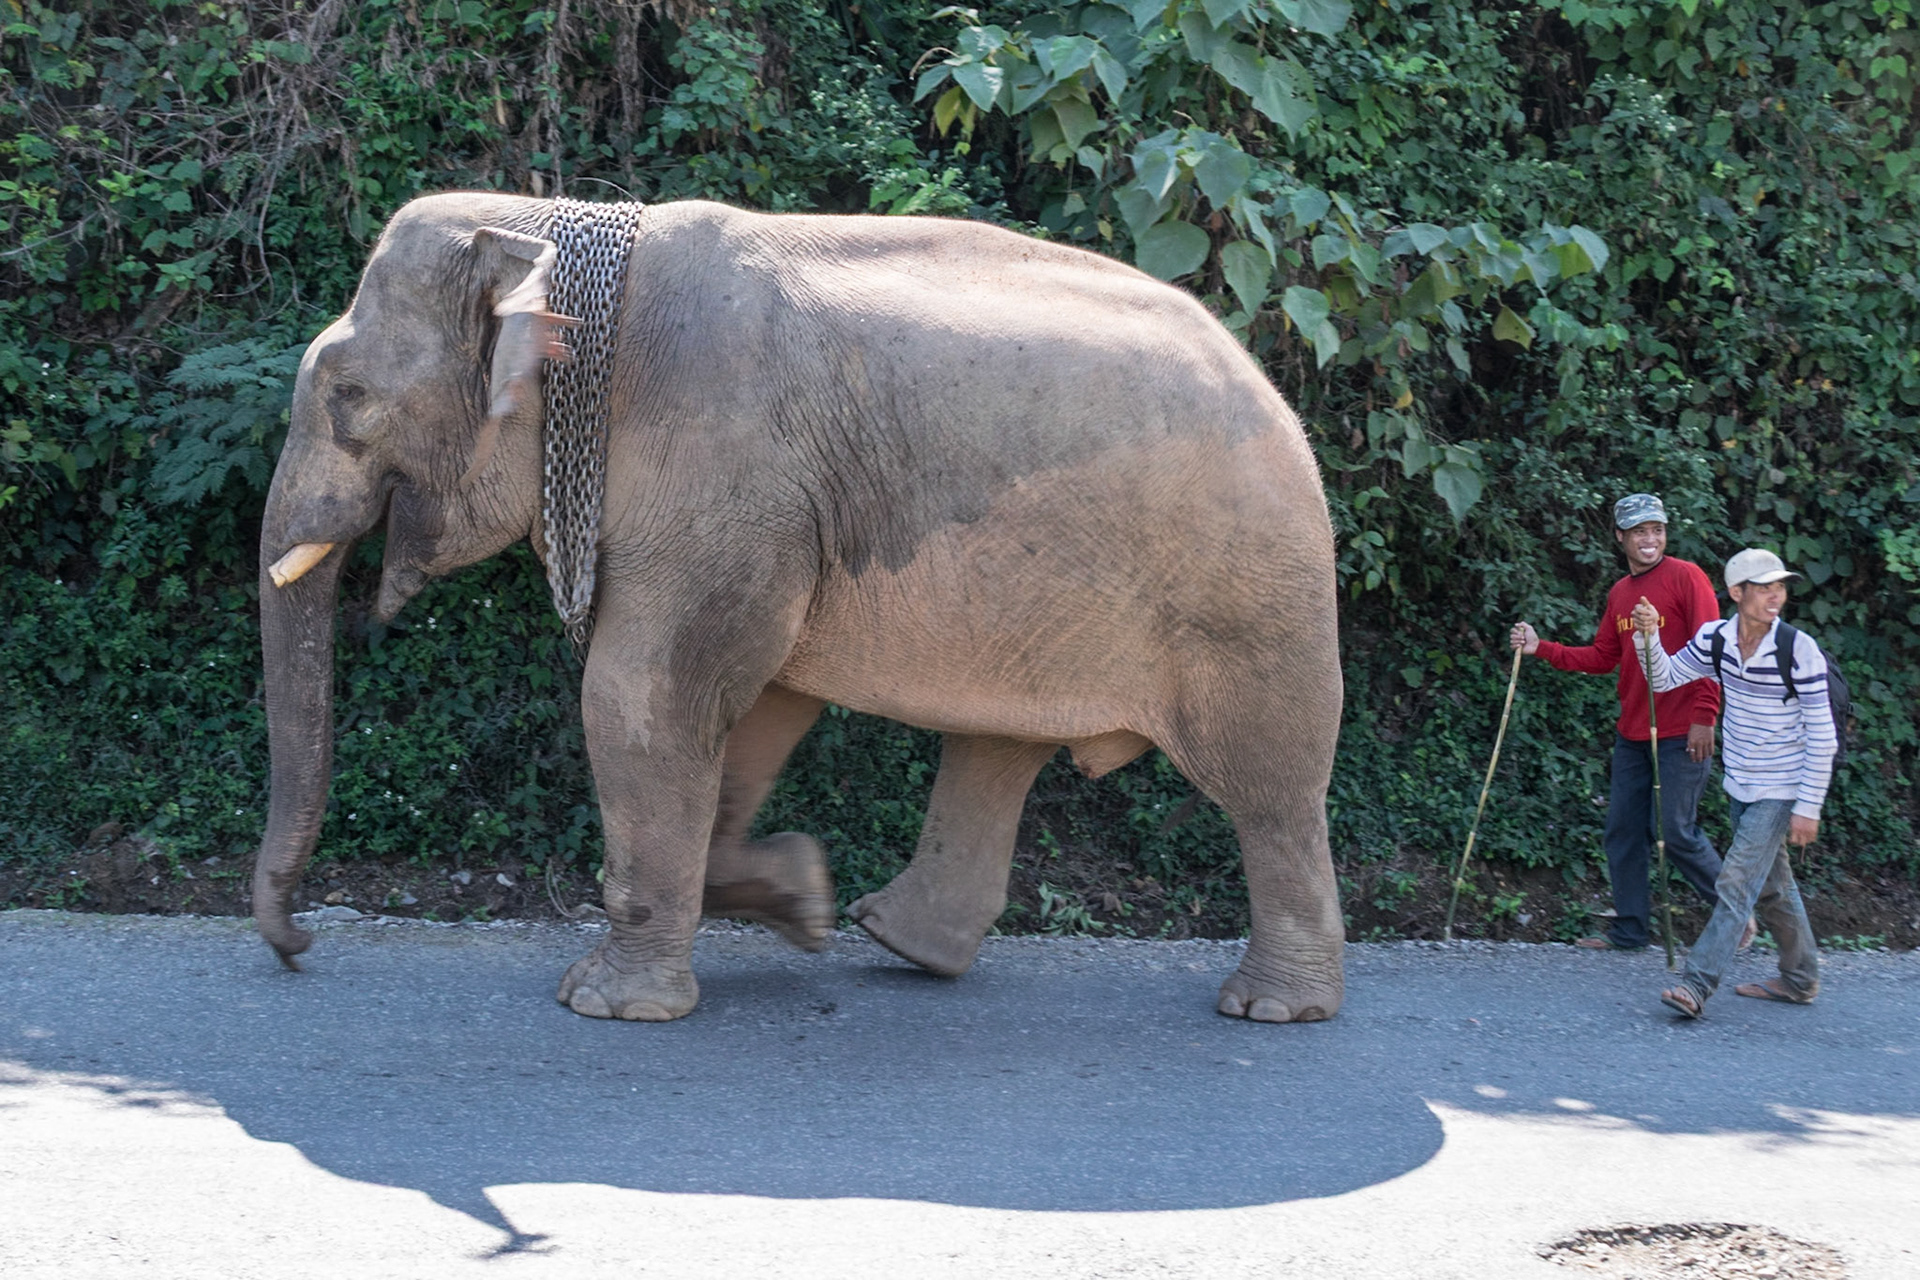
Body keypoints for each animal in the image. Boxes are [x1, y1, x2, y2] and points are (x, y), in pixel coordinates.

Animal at [254, 191, 1345, 1024]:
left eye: (347, 396)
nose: (299, 947)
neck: (543, 227)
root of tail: (1275, 390)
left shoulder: (721, 480)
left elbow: (643, 696)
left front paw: (606, 1004)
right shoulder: (763, 513)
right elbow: (758, 698)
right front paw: (797, 899)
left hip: (1250, 598)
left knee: (1269, 786)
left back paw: (1271, 1008)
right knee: (999, 748)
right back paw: (893, 938)